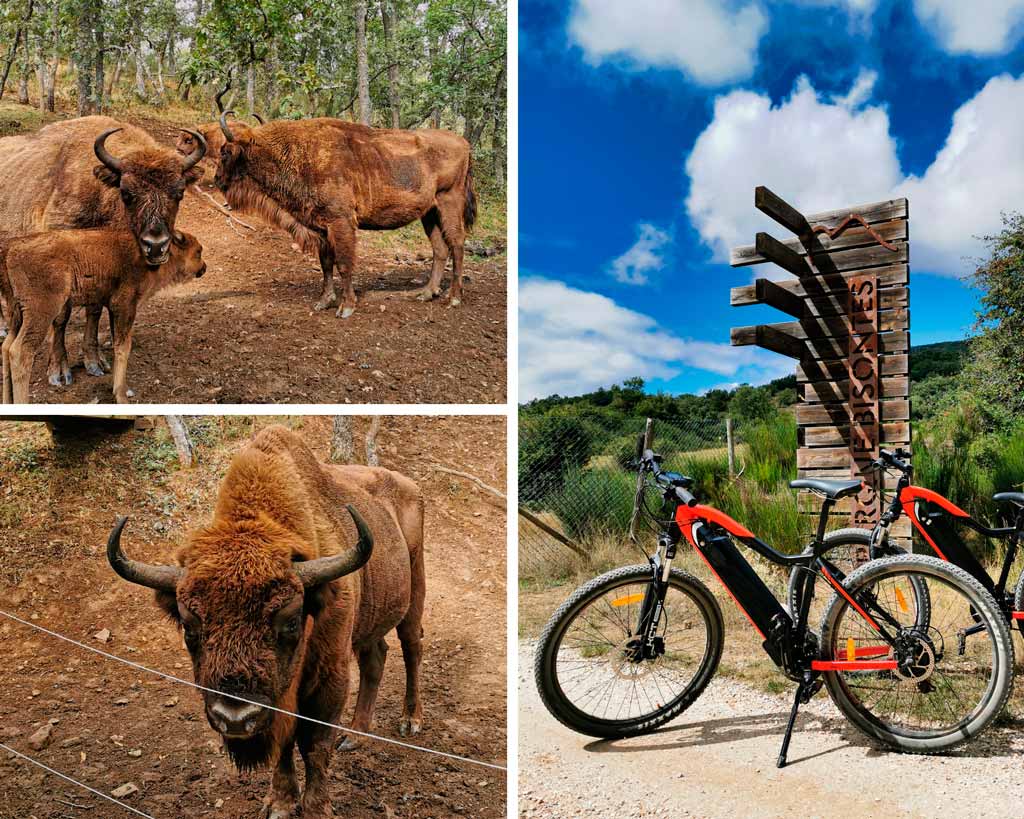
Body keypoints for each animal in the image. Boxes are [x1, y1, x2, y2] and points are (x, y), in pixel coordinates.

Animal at [0, 116, 206, 380]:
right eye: (127, 193)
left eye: (179, 193)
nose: (156, 246)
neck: (102, 192)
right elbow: (61, 316)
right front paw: (59, 370)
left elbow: (94, 310)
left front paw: (94, 362)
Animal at [107, 425, 426, 819]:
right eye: (189, 627)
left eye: (289, 621)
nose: (234, 717)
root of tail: (409, 485)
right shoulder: (279, 702)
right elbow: (284, 743)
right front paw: (281, 803)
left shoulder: (329, 676)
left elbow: (315, 744)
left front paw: (317, 809)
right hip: (372, 618)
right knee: (376, 656)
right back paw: (355, 735)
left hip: (415, 587)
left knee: (412, 646)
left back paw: (411, 720)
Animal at [214, 114, 476, 317]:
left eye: (225, 152)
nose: (217, 179)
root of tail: (465, 143)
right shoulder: (321, 227)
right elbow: (326, 265)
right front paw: (323, 302)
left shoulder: (341, 223)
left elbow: (344, 264)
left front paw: (346, 307)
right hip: (429, 213)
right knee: (440, 249)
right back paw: (426, 294)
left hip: (449, 202)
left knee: (457, 244)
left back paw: (454, 298)